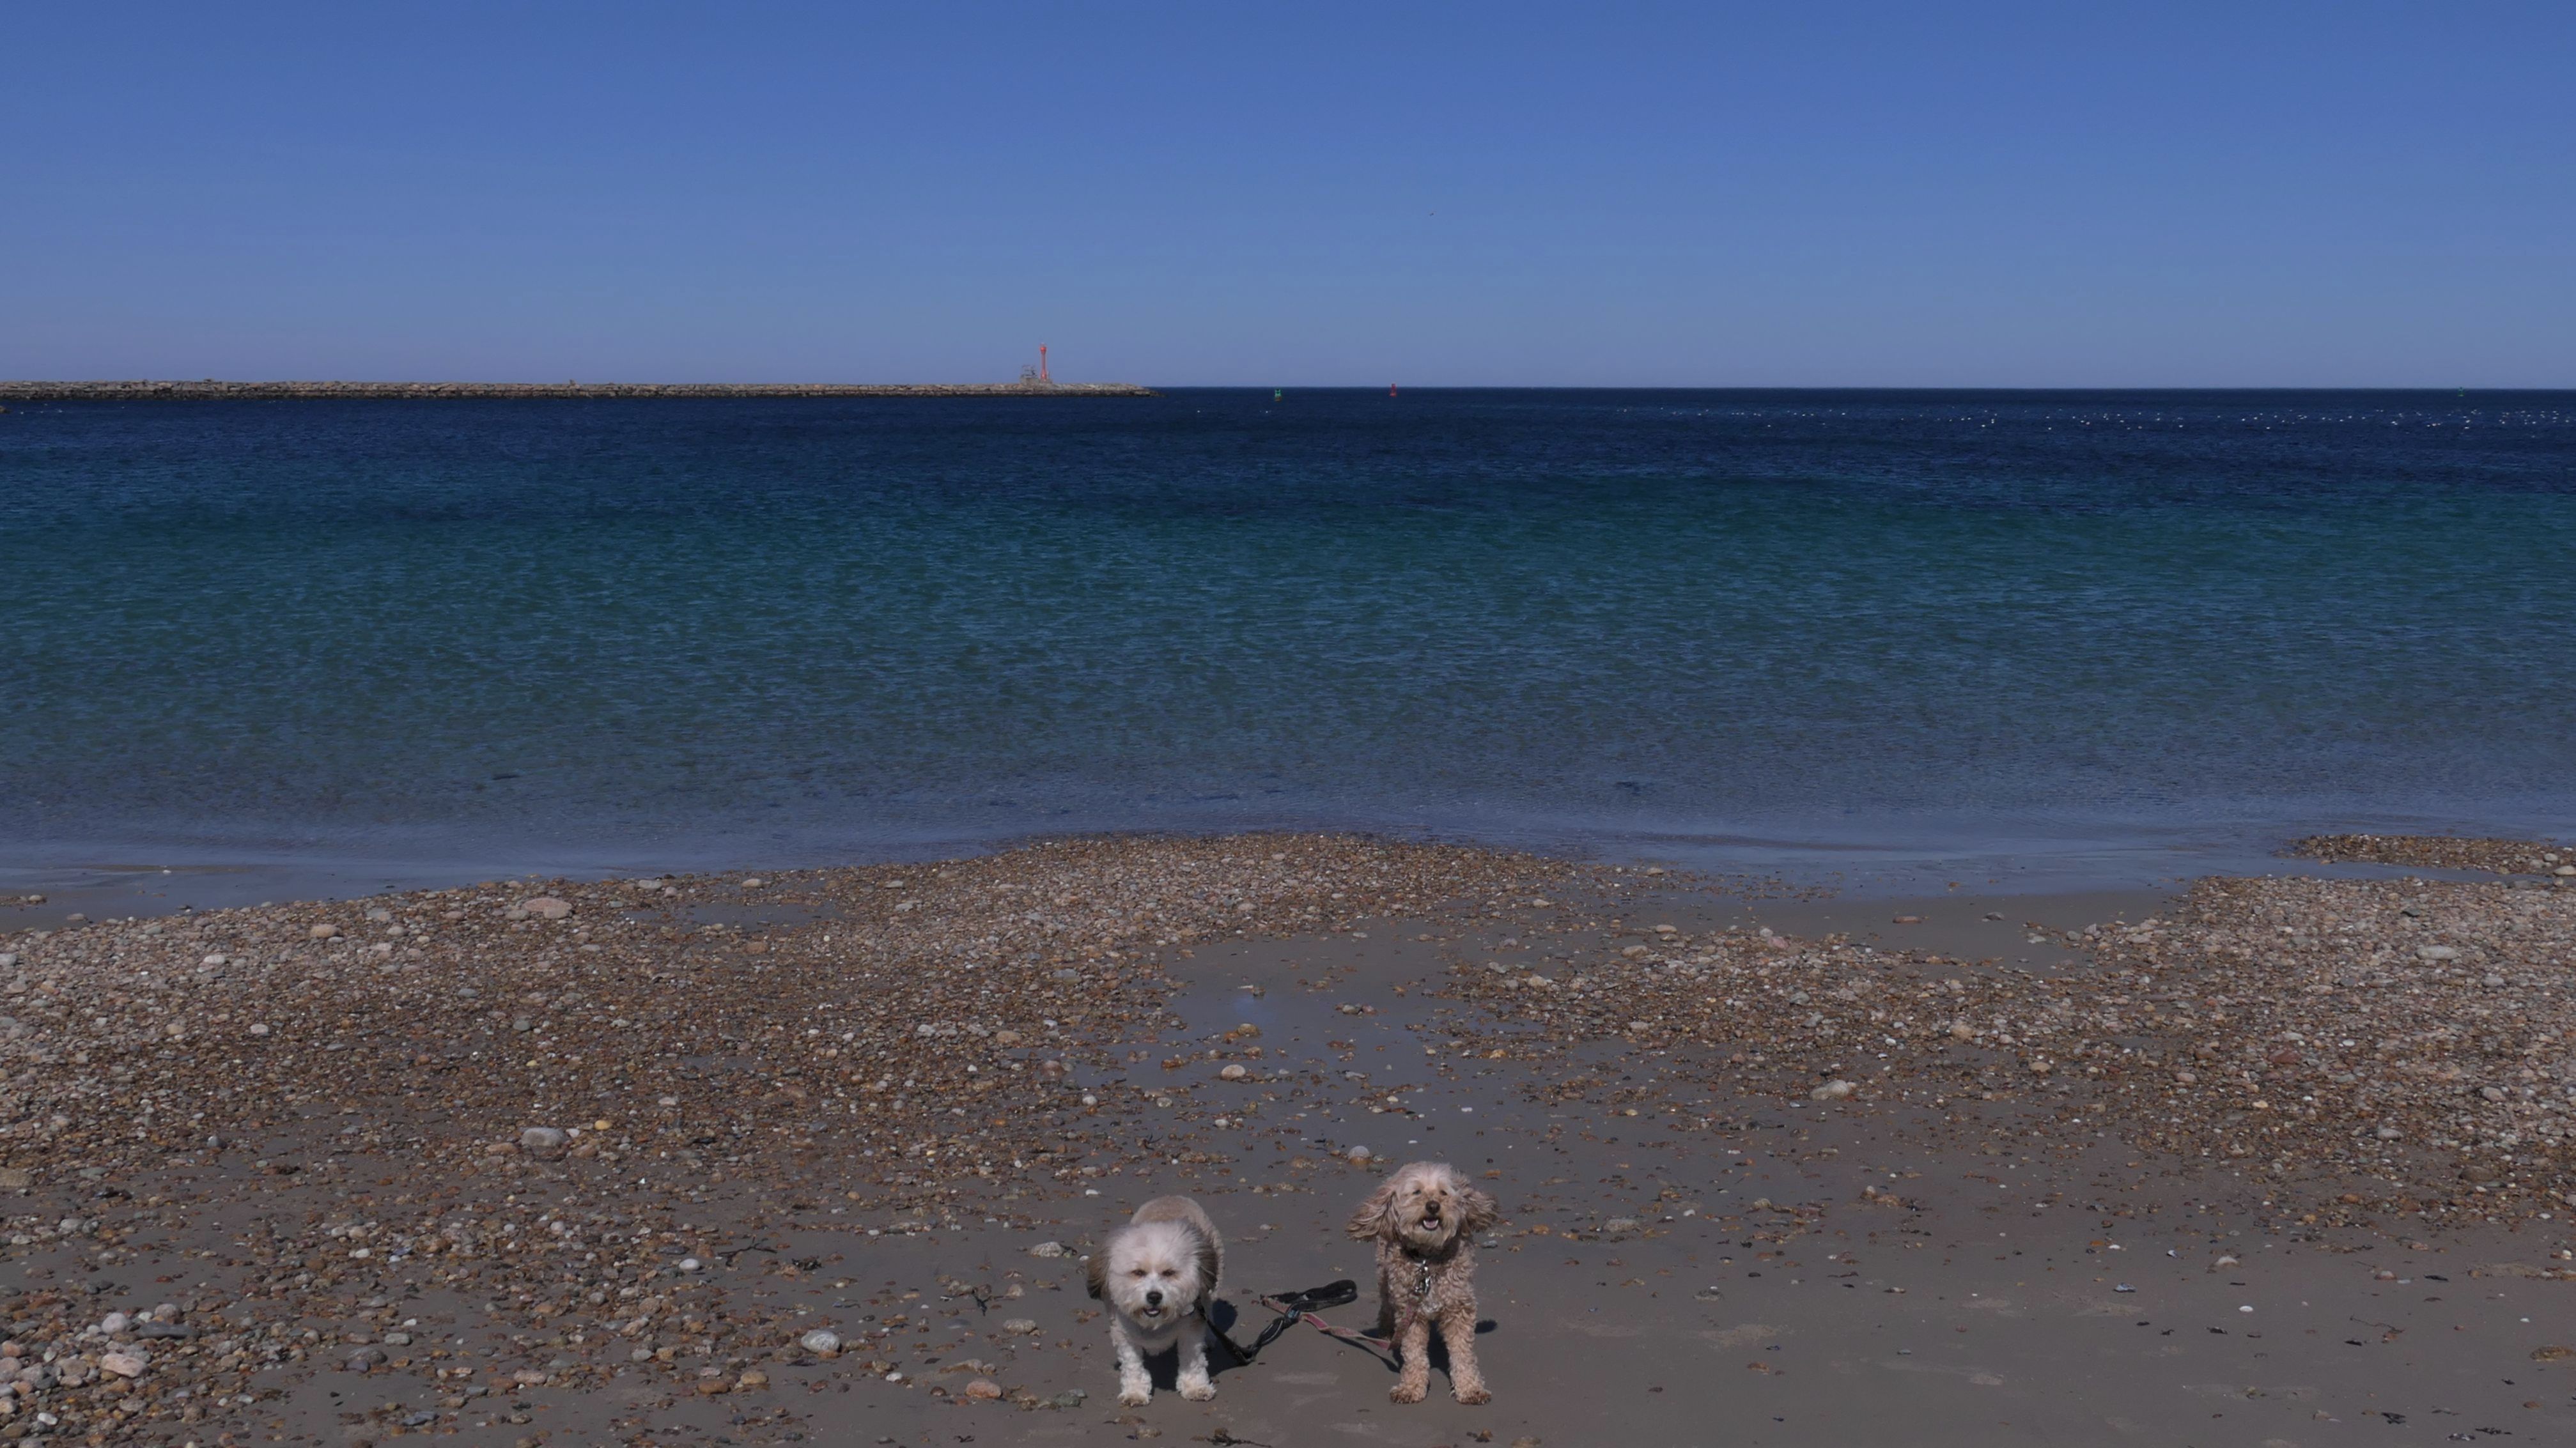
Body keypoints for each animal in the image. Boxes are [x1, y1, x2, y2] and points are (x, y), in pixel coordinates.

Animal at [1087, 1195, 1224, 1405]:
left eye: (1169, 1273)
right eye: (1138, 1273)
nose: (1154, 1296)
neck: (1154, 1323)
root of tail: (1172, 1197)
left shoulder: (1191, 1328)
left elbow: (1193, 1360)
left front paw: (1196, 1388)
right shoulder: (1124, 1333)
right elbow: (1133, 1365)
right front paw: (1135, 1392)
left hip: (1212, 1282)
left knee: (1209, 1308)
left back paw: (1210, 1336)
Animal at [1347, 1161, 1499, 1404]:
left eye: (1443, 1192)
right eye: (1417, 1192)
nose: (1433, 1206)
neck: (1428, 1260)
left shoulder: (1459, 1308)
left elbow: (1463, 1354)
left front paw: (1470, 1388)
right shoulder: (1411, 1315)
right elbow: (1414, 1355)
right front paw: (1411, 1388)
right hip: (1385, 1277)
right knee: (1386, 1305)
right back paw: (1386, 1331)